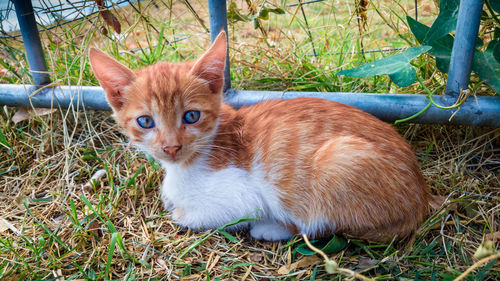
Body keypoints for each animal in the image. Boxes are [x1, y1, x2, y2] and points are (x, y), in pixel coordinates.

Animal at [89, 31, 430, 241]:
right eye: (145, 121)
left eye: (191, 116)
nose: (171, 147)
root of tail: (421, 200)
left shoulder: (240, 197)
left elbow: (190, 215)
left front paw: (182, 211)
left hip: (339, 160)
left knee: (316, 224)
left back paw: (270, 228)